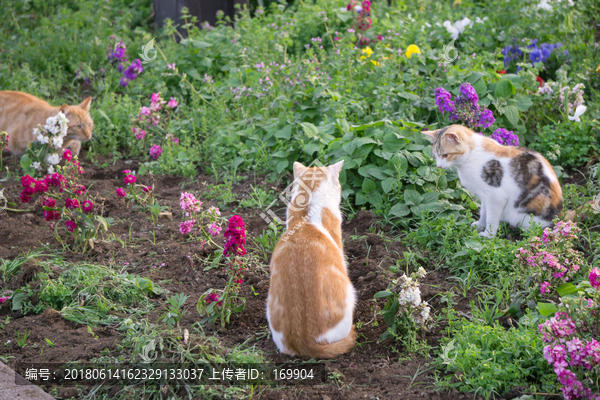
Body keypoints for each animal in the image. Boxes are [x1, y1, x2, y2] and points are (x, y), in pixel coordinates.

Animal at [422, 125, 564, 238]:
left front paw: (488, 235)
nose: (439, 166)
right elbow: (484, 212)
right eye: (434, 156)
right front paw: (479, 225)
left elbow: (491, 218)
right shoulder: (485, 196)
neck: (470, 156)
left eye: (445, 155)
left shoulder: (496, 197)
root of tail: (557, 218)